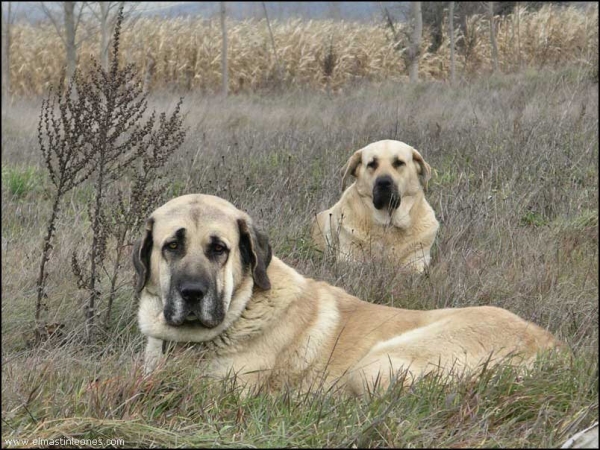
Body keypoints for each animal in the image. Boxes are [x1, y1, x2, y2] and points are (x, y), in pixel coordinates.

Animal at [314, 141, 440, 272]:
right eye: (372, 164)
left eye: (399, 162)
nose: (383, 182)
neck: (389, 224)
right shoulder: (350, 260)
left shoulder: (416, 262)